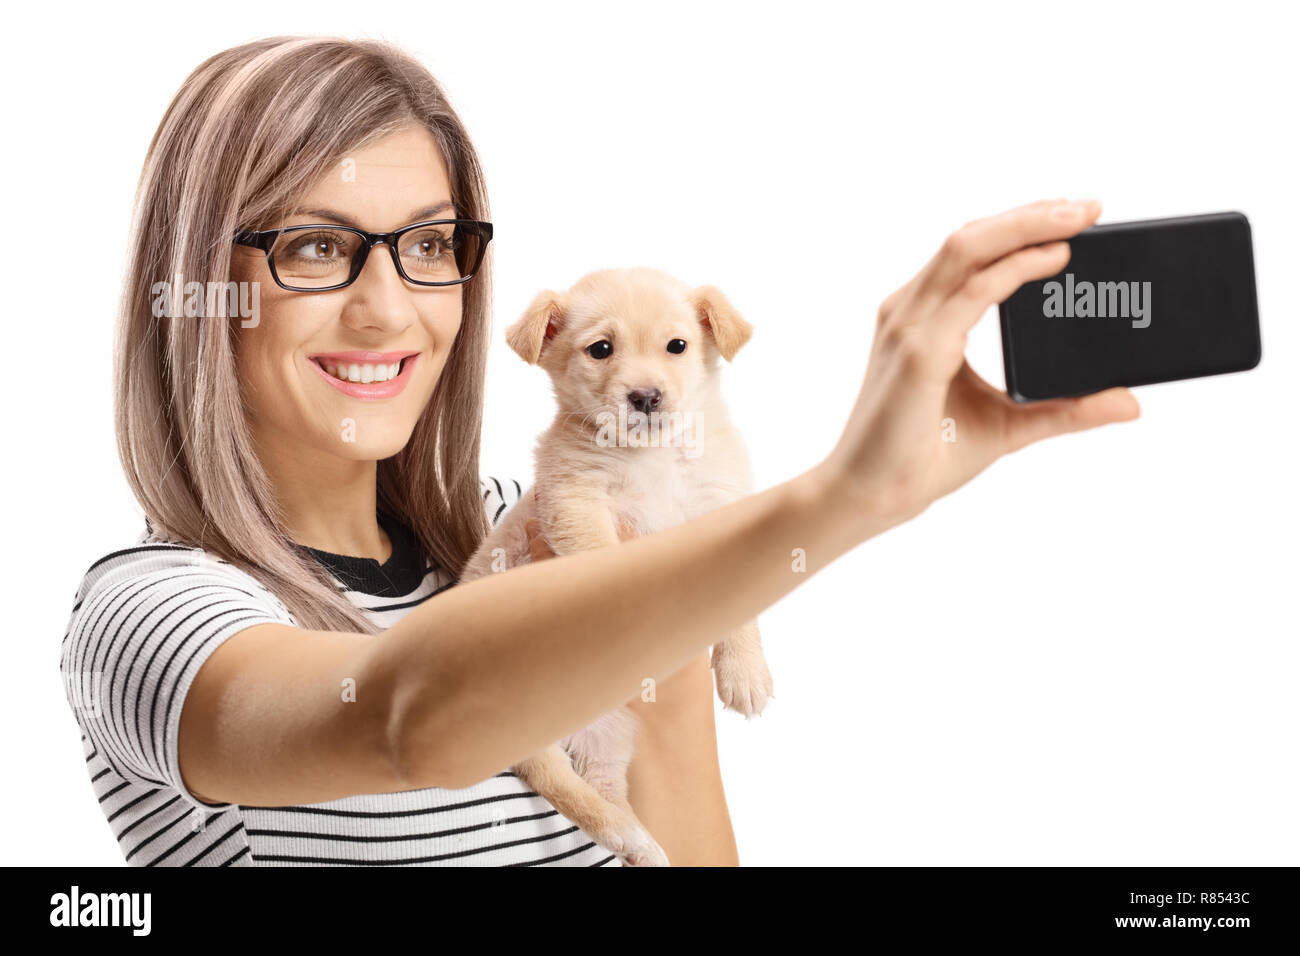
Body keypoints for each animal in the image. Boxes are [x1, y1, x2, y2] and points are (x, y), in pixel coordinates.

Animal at [462, 267, 769, 868]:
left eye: (677, 346)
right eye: (601, 350)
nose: (645, 397)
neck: (652, 458)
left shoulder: (721, 506)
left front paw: (745, 673)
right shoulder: (577, 502)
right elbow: (604, 572)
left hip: (606, 739)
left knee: (598, 790)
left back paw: (637, 843)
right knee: (559, 782)